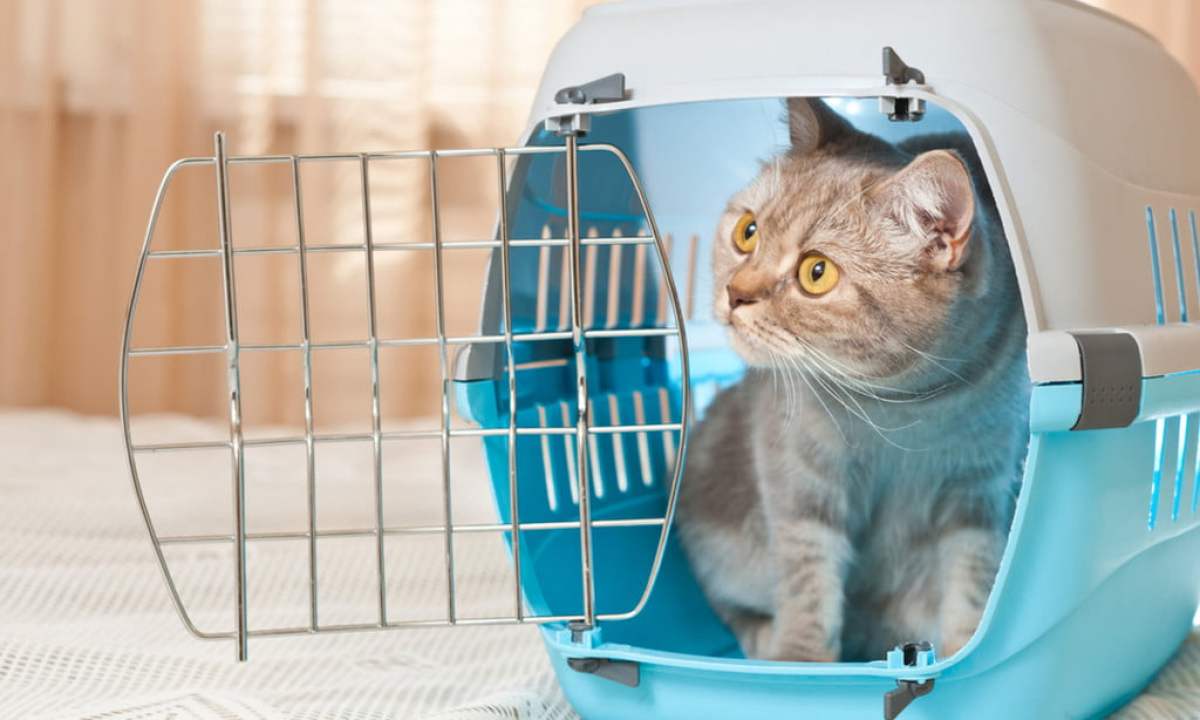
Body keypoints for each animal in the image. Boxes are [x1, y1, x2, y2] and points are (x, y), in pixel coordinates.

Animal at [676, 98, 1032, 662]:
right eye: (747, 232)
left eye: (816, 272)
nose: (735, 293)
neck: (906, 409)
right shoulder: (800, 482)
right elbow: (806, 582)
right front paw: (799, 660)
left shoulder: (978, 491)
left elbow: (973, 577)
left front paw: (966, 648)